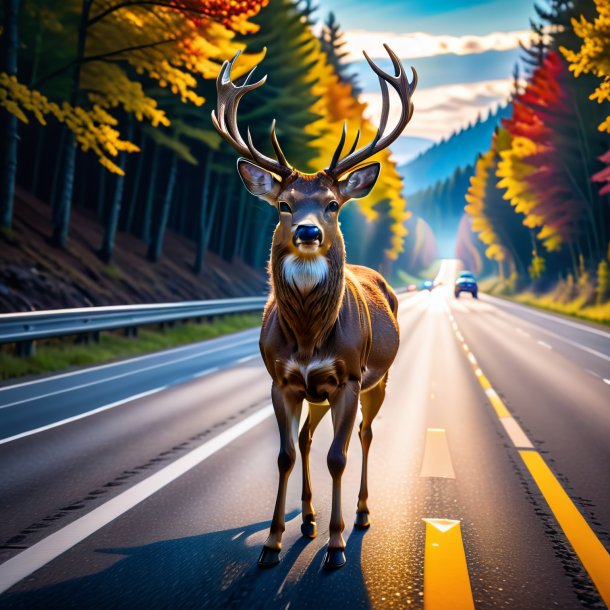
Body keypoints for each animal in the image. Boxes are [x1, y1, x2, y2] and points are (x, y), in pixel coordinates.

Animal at [211, 45, 416, 568]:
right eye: (283, 204)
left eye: (332, 204)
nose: (308, 231)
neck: (307, 337)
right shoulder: (282, 380)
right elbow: (284, 454)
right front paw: (271, 542)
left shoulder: (348, 377)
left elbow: (337, 457)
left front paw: (337, 545)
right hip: (315, 394)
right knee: (305, 438)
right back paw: (306, 519)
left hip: (378, 379)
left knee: (364, 435)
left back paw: (360, 514)